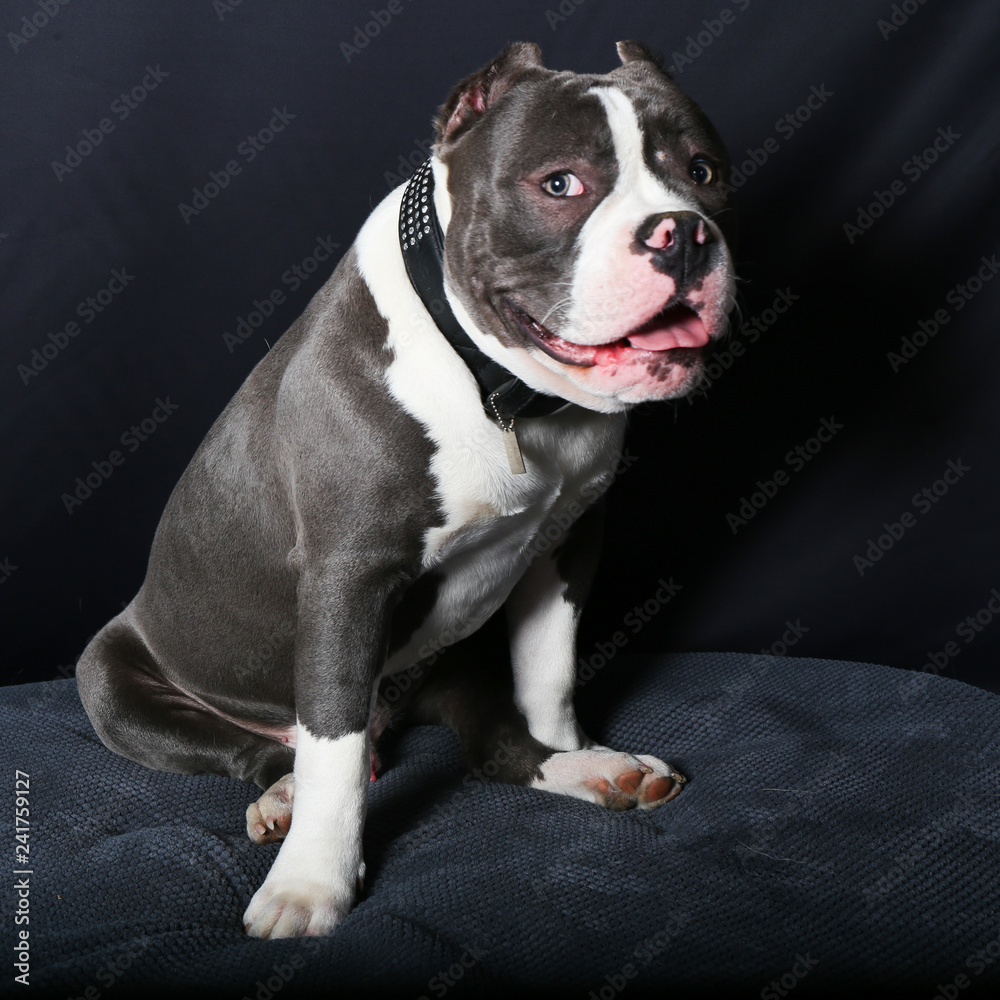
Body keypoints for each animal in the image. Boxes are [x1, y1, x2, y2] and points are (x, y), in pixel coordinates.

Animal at [78, 41, 736, 936]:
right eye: (561, 183)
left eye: (702, 171)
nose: (683, 233)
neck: (498, 385)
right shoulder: (348, 581)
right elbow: (334, 747)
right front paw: (310, 885)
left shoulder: (568, 541)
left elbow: (550, 674)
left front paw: (571, 747)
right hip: (113, 680)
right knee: (266, 752)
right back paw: (279, 794)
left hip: (461, 659)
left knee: (494, 745)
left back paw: (587, 772)